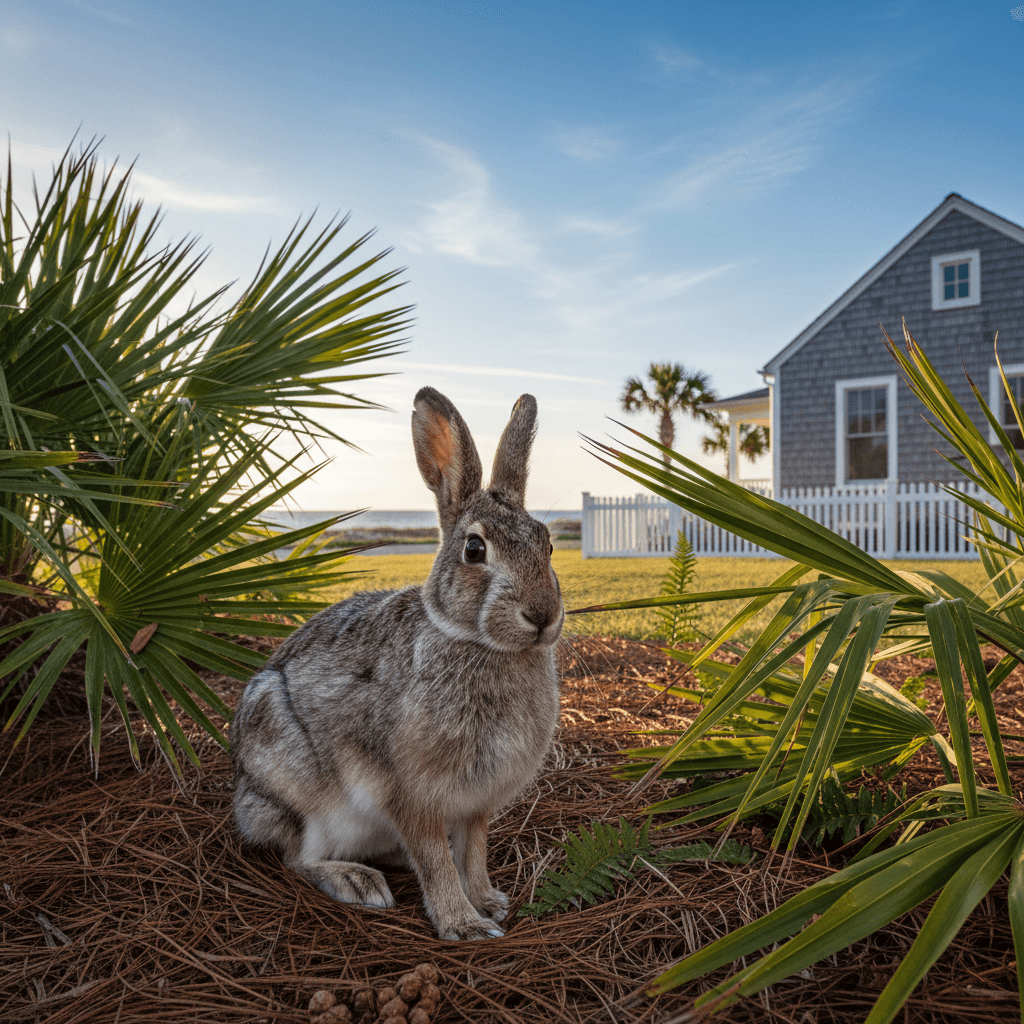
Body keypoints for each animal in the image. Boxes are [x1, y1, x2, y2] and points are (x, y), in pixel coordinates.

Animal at [231, 386, 564, 941]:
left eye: (550, 543)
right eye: (475, 548)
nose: (542, 615)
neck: (481, 644)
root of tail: (245, 801)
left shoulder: (475, 805)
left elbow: (471, 852)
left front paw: (486, 901)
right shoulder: (412, 794)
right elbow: (435, 859)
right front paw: (464, 925)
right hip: (297, 787)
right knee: (296, 857)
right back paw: (356, 882)